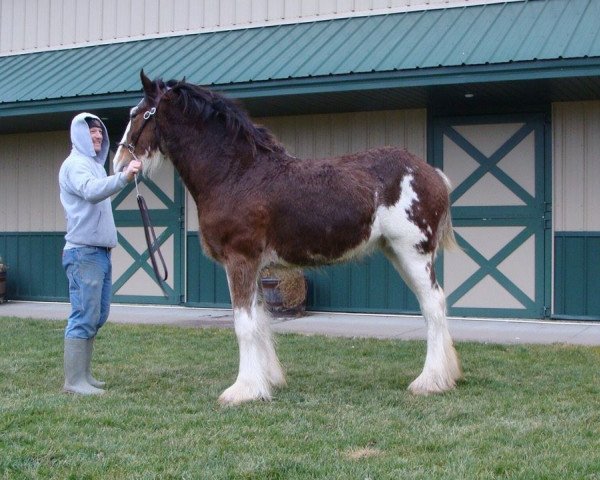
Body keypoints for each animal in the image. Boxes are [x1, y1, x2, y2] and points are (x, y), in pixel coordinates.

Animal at [112, 68, 462, 404]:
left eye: (136, 114)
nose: (118, 163)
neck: (236, 174)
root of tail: (432, 174)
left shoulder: (240, 260)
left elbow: (244, 325)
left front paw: (243, 390)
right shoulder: (251, 266)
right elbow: (259, 321)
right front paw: (266, 381)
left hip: (413, 253)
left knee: (433, 306)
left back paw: (429, 382)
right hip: (397, 253)